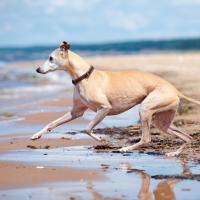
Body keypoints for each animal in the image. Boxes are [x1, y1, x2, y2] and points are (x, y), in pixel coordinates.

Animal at [31, 41, 200, 156]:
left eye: (50, 58)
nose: (37, 69)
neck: (84, 76)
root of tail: (175, 89)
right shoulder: (76, 112)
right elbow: (52, 123)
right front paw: (36, 135)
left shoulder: (104, 108)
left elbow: (87, 129)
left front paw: (102, 140)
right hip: (162, 122)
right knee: (187, 137)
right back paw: (174, 153)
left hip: (145, 110)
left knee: (146, 138)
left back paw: (125, 148)